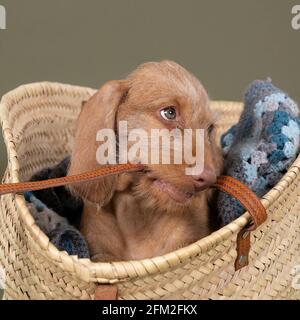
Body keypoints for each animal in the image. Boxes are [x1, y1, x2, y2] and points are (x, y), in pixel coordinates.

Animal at [68, 60, 223, 262]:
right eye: (169, 113)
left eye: (210, 128)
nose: (209, 179)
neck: (140, 208)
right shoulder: (100, 254)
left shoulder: (185, 242)